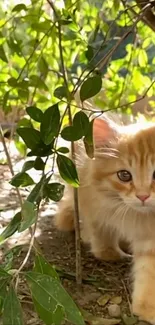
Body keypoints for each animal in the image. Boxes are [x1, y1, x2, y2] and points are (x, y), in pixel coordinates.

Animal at [55, 115, 155, 322]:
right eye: (124, 175)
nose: (142, 196)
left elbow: (148, 270)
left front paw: (146, 307)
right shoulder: (94, 203)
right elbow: (101, 234)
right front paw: (110, 253)